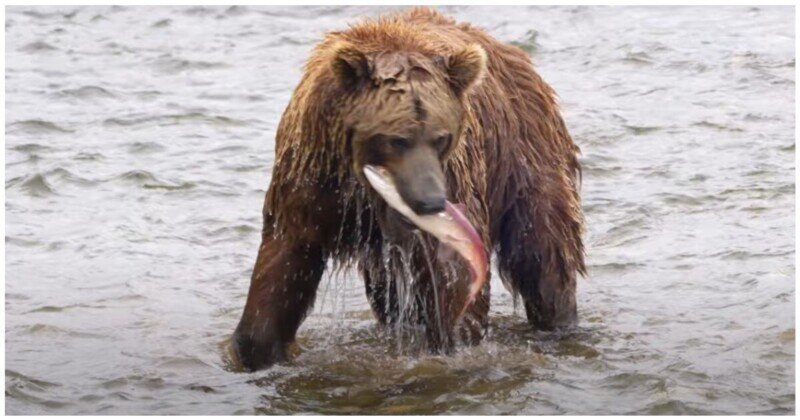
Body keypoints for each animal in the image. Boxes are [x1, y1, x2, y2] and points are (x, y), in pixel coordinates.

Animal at [234, 7, 584, 370]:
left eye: (441, 137)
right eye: (397, 139)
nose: (430, 202)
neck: (361, 187)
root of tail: (520, 59)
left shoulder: (455, 177)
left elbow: (452, 278)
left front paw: (453, 338)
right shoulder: (311, 178)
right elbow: (286, 260)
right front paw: (258, 348)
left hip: (526, 157)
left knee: (543, 251)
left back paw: (557, 319)